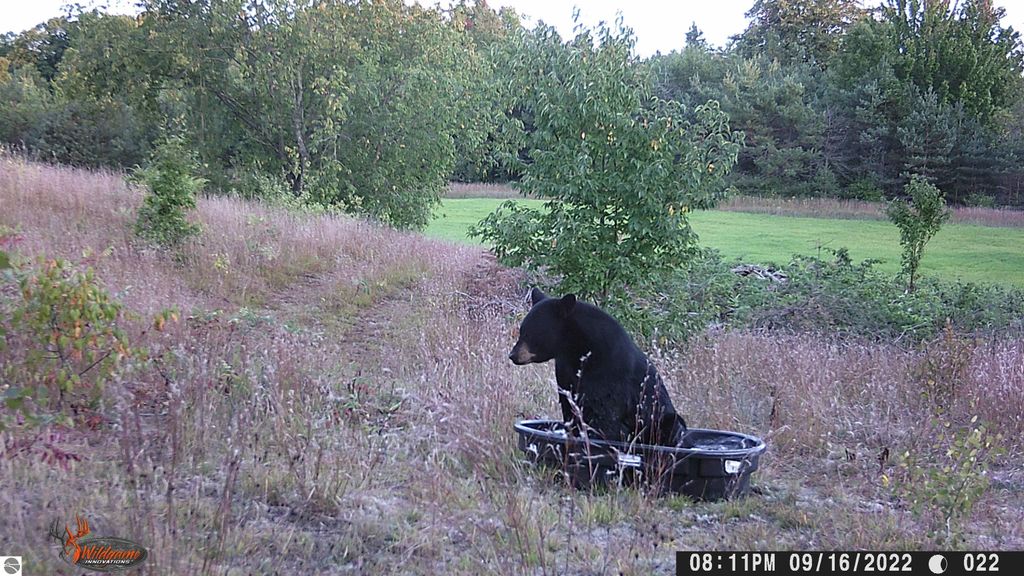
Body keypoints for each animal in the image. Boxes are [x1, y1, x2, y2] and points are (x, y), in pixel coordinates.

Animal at [509, 287, 689, 448]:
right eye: (522, 330)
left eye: (530, 333)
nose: (513, 355)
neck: (577, 349)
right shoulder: (565, 371)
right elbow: (569, 406)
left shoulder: (610, 371)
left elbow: (606, 413)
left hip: (663, 418)